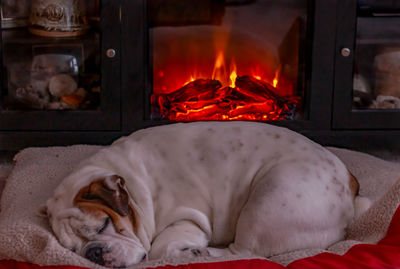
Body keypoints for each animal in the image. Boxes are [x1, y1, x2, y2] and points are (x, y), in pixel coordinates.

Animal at [42, 121, 370, 266]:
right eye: (72, 250)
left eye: (104, 225)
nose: (93, 252)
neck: (136, 188)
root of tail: (349, 183)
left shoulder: (185, 219)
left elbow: (160, 247)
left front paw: (184, 250)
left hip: (268, 199)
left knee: (244, 252)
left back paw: (202, 253)